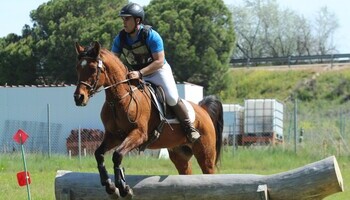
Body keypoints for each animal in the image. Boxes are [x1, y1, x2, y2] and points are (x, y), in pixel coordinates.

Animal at [73, 41, 223, 198]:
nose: (79, 97)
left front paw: (123, 188)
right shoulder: (113, 136)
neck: (119, 99)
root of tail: (203, 110)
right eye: (77, 68)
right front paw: (110, 186)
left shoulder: (139, 134)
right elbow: (99, 154)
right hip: (180, 154)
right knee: (186, 172)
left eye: (92, 68)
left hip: (205, 154)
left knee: (208, 171)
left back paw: (192, 133)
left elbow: (117, 155)